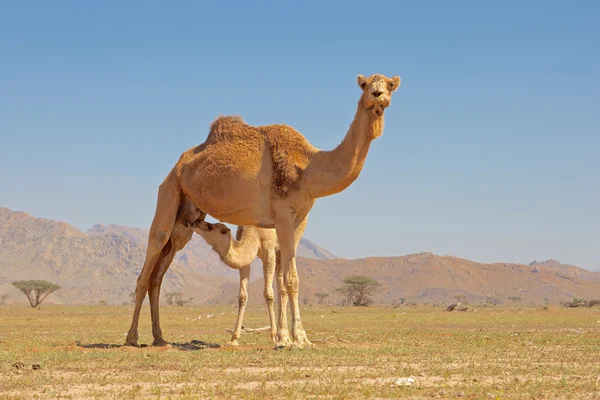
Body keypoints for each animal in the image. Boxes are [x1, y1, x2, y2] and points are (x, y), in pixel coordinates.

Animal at [124, 73, 400, 348]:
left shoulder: (299, 220)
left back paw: (159, 337)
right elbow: (290, 280)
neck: (307, 167)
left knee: (158, 275)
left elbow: (288, 280)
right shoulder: (283, 214)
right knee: (150, 259)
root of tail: (178, 165)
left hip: (186, 220)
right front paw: (295, 338)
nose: (378, 96)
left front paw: (292, 337)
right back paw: (131, 337)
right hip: (169, 191)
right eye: (365, 85)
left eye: (390, 85)